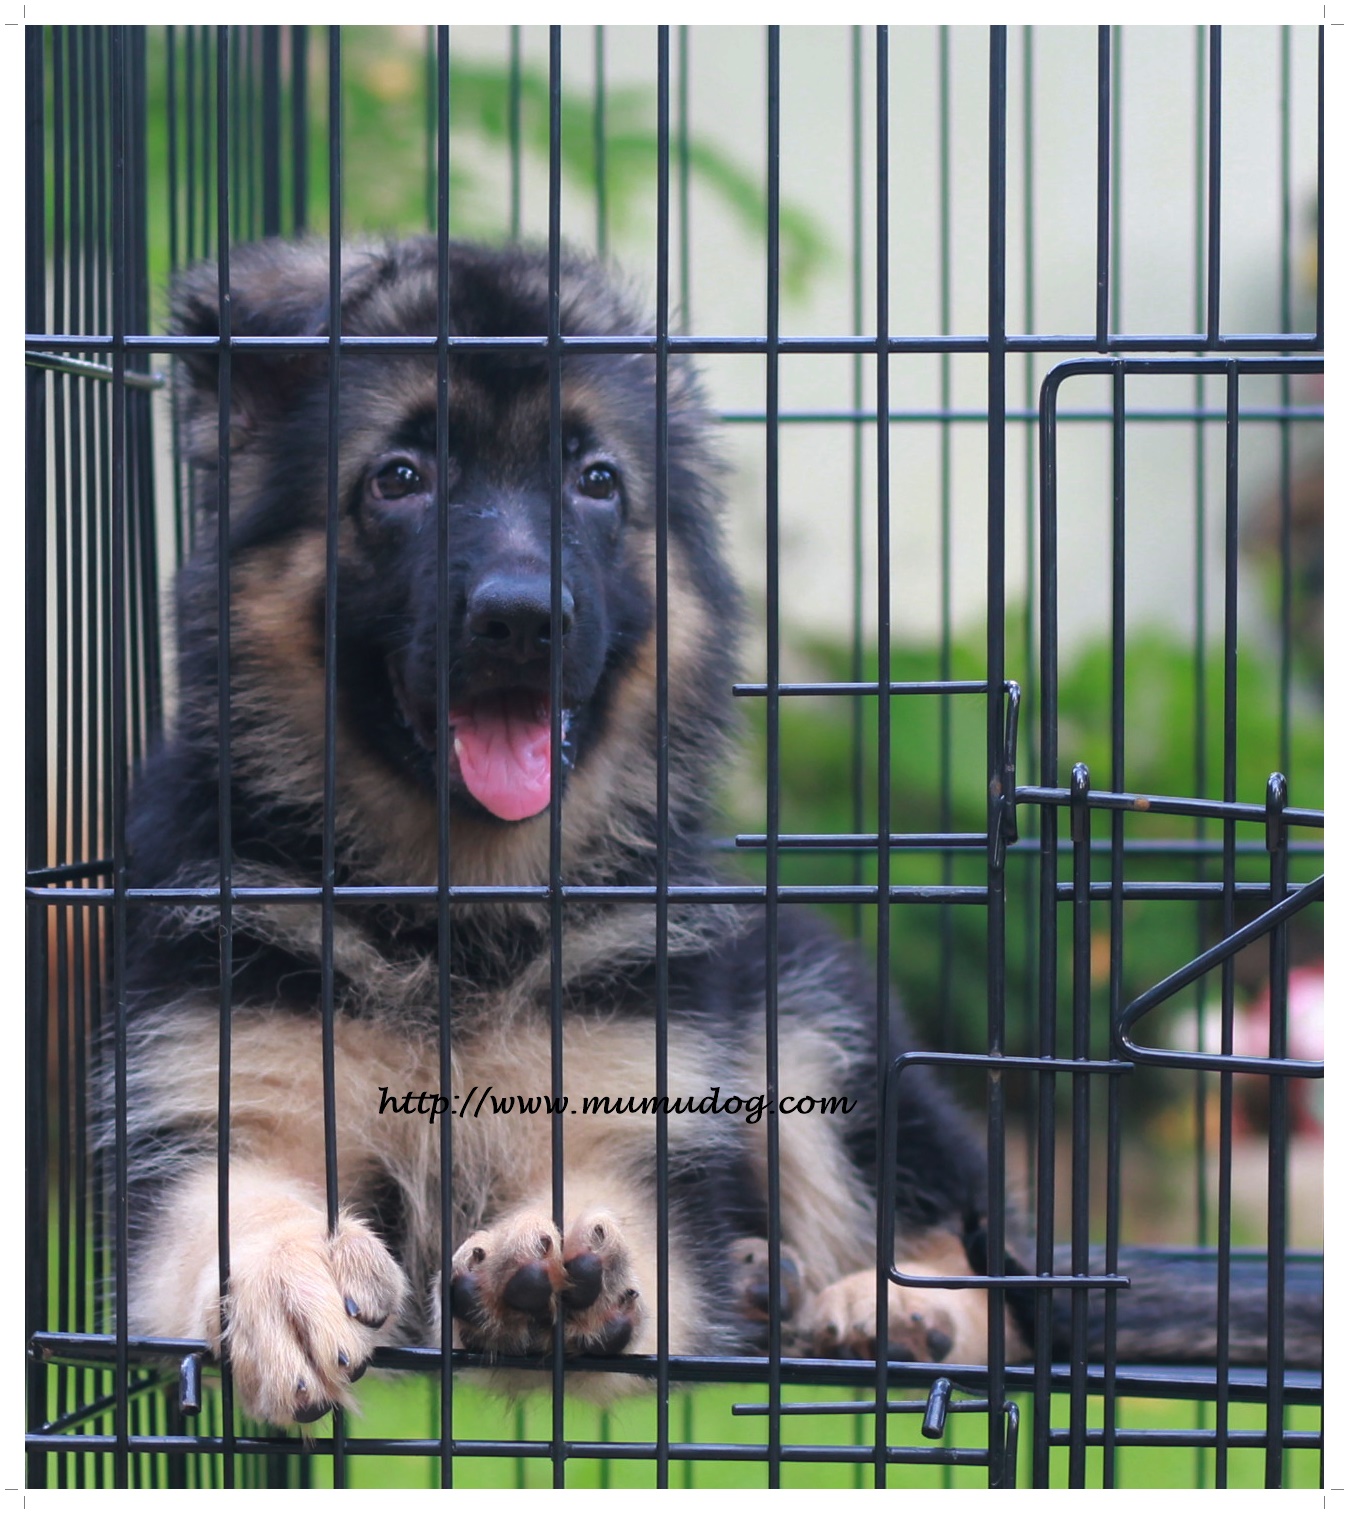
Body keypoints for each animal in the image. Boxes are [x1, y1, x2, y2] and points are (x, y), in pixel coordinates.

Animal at [113, 237, 1319, 1430]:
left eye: (596, 481)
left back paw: (884, 1307)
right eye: (397, 478)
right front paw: (288, 1273)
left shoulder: (634, 1146)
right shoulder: (219, 1112)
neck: (455, 913)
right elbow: (232, 1207)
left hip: (815, 1030)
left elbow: (629, 1247)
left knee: (994, 1286)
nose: (522, 619)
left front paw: (545, 1271)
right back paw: (766, 1279)